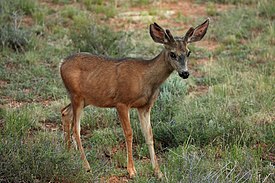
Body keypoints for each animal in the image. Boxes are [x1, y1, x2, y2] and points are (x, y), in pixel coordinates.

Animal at [60, 17, 210, 178]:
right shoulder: (121, 102)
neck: (146, 79)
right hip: (77, 96)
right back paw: (87, 167)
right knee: (76, 128)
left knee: (65, 112)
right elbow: (129, 133)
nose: (185, 73)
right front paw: (132, 170)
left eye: (188, 52)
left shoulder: (145, 106)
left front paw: (158, 172)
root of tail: (61, 63)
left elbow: (149, 135)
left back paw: (67, 154)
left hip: (84, 98)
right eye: (172, 54)